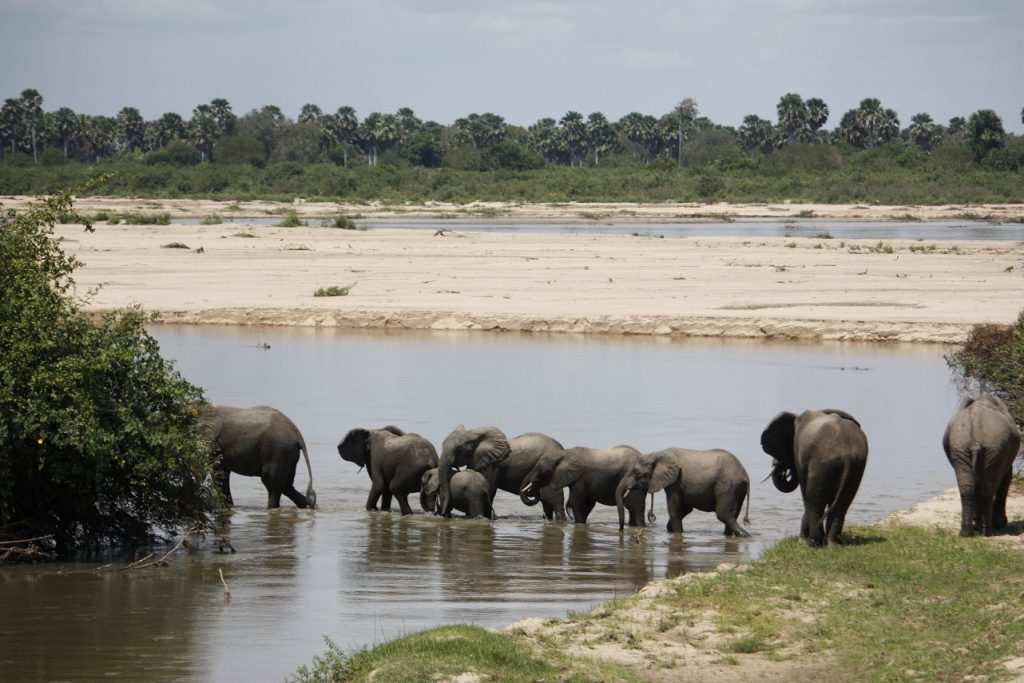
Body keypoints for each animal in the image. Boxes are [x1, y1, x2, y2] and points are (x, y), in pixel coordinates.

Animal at [614, 448, 753, 540]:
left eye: (636, 473)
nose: (620, 531)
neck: (657, 454)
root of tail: (745, 476)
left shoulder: (675, 480)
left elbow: (675, 509)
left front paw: (677, 533)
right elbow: (685, 509)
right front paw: (672, 529)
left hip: (727, 486)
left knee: (723, 514)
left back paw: (746, 536)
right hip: (737, 489)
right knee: (732, 514)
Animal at [757, 409, 868, 548]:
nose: (784, 472)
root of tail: (847, 456)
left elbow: (805, 493)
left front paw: (802, 541)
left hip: (822, 464)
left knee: (815, 502)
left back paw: (813, 542)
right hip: (857, 466)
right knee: (841, 506)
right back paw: (833, 544)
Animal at [937, 397, 1019, 536]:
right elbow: (1006, 479)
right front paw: (1000, 524)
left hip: (961, 446)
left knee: (968, 487)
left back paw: (966, 532)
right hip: (995, 448)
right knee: (988, 489)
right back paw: (987, 531)